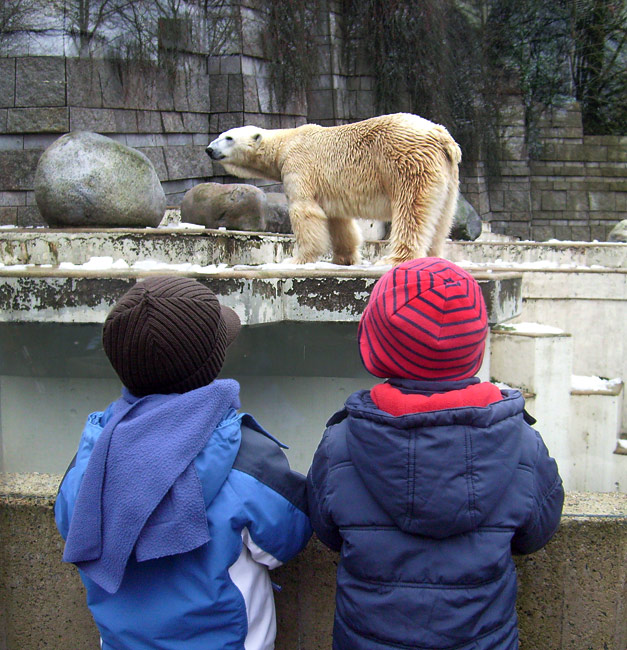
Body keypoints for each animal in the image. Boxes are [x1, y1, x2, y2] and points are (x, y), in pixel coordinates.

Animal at [206, 112, 462, 264]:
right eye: (221, 135)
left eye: (228, 138)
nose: (209, 149)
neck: (285, 143)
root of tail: (443, 137)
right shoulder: (329, 188)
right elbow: (338, 221)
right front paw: (344, 258)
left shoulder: (299, 166)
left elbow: (305, 211)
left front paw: (298, 260)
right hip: (448, 176)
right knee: (441, 218)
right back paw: (433, 256)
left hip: (407, 162)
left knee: (411, 210)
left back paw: (396, 259)